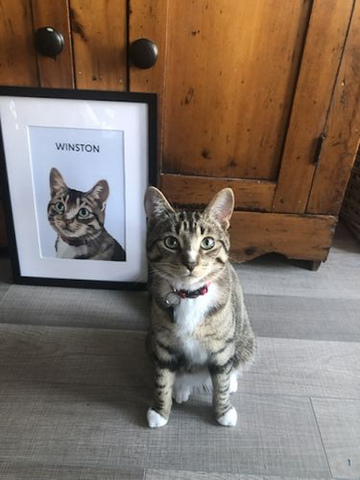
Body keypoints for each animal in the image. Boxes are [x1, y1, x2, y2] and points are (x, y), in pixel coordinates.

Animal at [144, 187, 256, 428]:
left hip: (246, 339)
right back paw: (181, 388)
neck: (190, 296)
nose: (191, 263)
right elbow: (162, 379)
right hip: (149, 340)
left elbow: (221, 381)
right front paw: (160, 411)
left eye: (207, 243)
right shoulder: (163, 344)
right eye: (171, 241)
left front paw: (223, 412)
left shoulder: (221, 347)